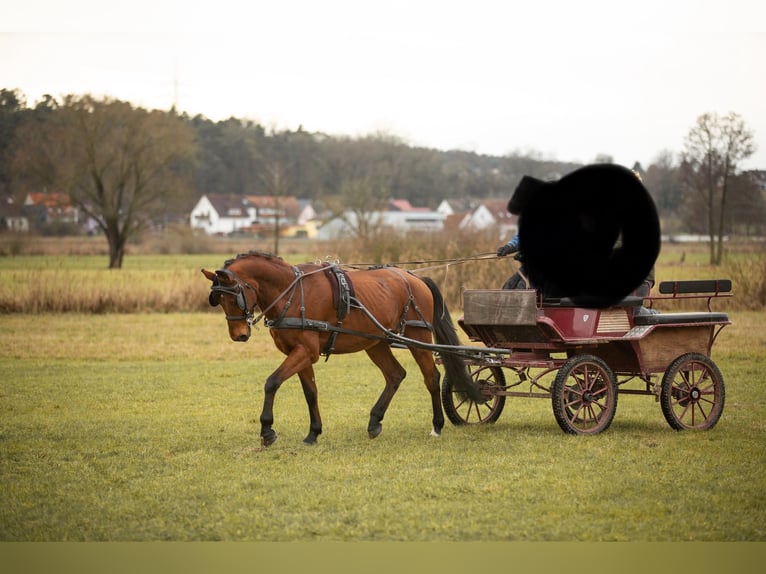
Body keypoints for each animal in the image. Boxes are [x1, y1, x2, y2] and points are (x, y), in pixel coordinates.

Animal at [201, 253, 484, 450]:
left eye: (234, 296)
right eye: (218, 300)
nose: (239, 335)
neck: (292, 293)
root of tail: (414, 278)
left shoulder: (305, 351)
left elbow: (272, 382)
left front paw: (267, 431)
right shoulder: (301, 353)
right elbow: (310, 392)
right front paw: (313, 433)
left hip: (418, 336)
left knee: (431, 378)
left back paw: (437, 425)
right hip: (376, 343)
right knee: (395, 375)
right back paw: (374, 421)